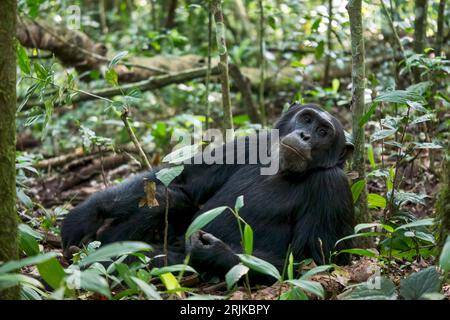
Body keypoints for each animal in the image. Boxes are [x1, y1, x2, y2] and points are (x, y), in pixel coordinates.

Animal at [60, 104, 356, 282]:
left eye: (323, 131)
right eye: (306, 118)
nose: (306, 135)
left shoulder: (334, 186)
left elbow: (312, 262)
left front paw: (212, 250)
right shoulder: (252, 143)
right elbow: (185, 178)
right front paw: (85, 215)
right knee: (168, 198)